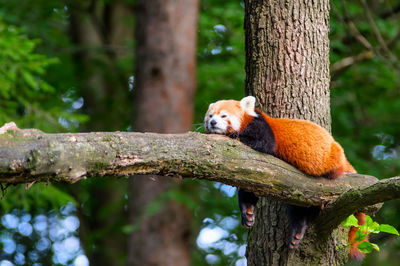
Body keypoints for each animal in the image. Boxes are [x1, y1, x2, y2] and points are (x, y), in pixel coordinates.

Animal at [206, 95, 366, 260]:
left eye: (223, 116)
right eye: (210, 116)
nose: (212, 123)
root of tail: (343, 158)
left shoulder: (261, 127)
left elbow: (264, 144)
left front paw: (234, 135)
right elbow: (248, 190)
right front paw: (248, 213)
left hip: (330, 161)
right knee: (298, 209)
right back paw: (297, 232)